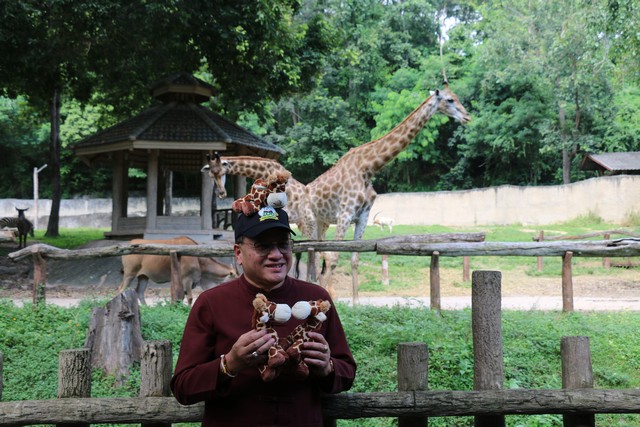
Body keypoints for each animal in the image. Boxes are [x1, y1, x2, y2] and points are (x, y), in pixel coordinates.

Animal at [308, 82, 472, 296]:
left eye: (457, 97)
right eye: (450, 99)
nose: (467, 116)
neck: (368, 168)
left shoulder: (362, 216)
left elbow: (354, 259)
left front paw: (356, 302)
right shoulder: (344, 214)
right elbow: (334, 258)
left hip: (323, 223)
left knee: (318, 256)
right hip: (310, 221)